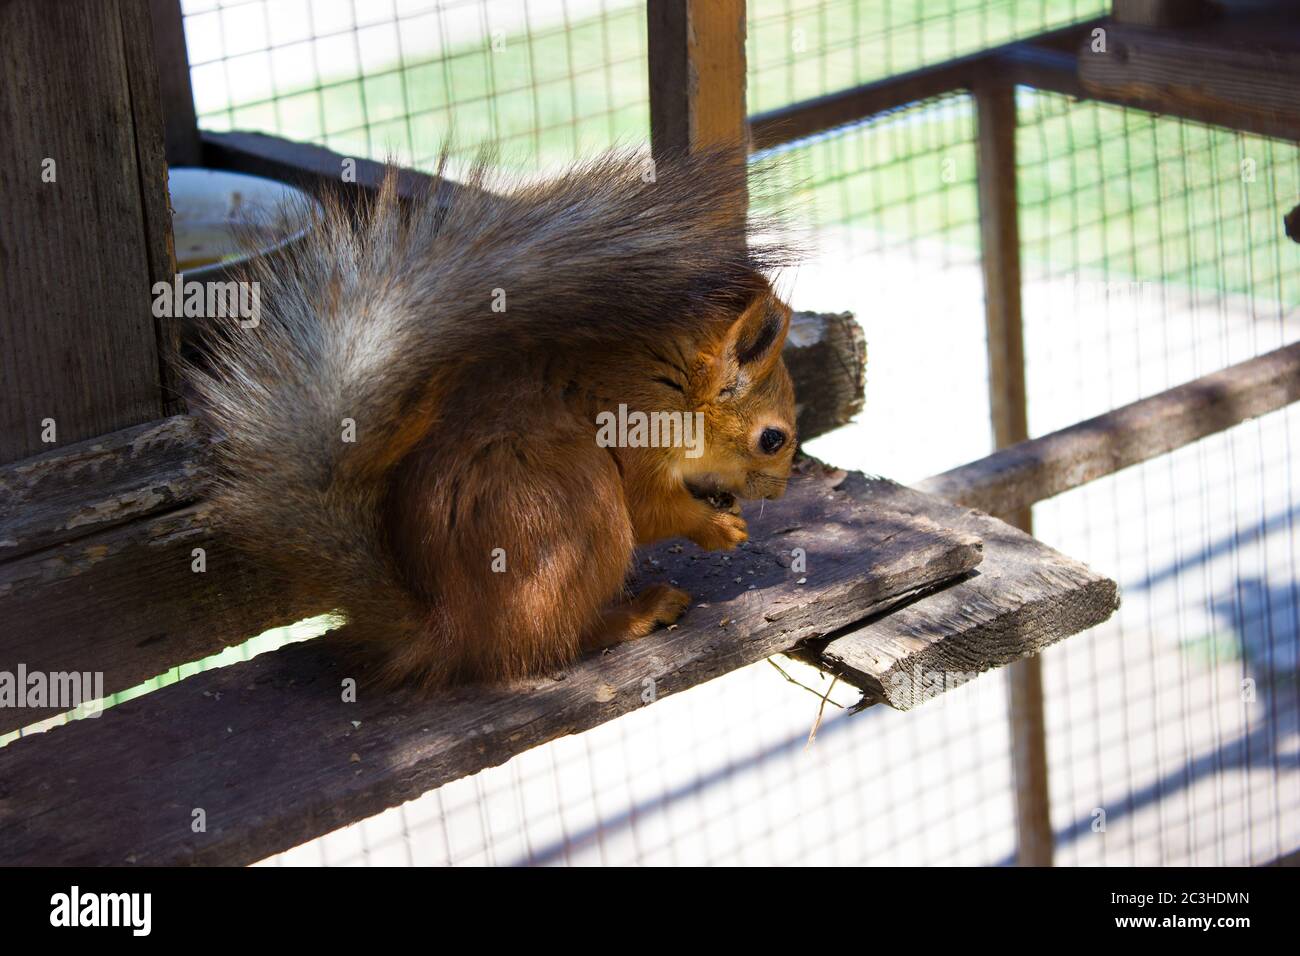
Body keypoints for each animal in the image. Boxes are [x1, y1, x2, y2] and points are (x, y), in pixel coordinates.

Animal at [187, 145, 795, 686]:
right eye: (773, 439)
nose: (777, 493)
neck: (671, 385)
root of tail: (453, 632)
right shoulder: (638, 431)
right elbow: (649, 511)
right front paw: (717, 526)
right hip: (574, 504)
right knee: (556, 639)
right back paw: (637, 612)